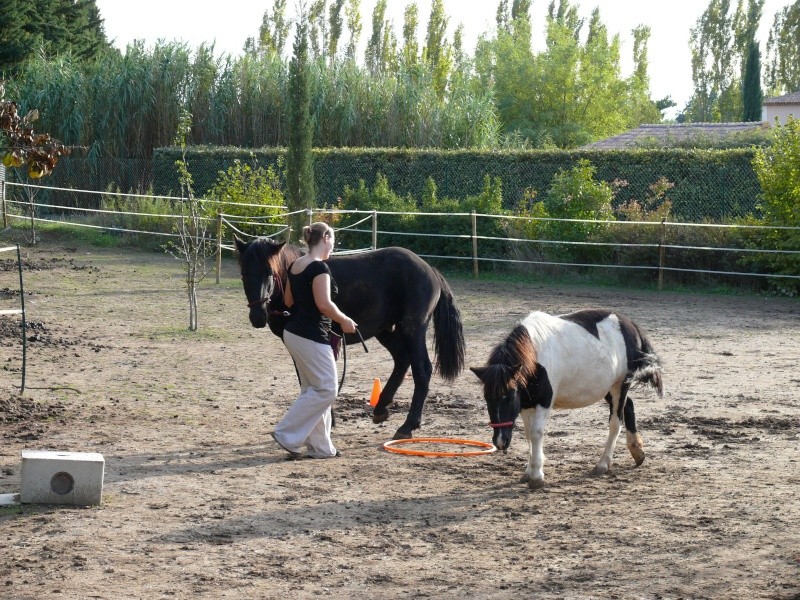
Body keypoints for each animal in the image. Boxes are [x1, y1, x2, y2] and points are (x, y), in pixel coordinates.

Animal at [234, 236, 466, 440]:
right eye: (244, 273)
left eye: (270, 273)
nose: (258, 316)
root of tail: (430, 269)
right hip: (386, 330)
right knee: (402, 360)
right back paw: (381, 409)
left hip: (412, 329)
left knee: (422, 369)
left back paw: (407, 425)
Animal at [468, 310, 664, 488]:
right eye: (487, 398)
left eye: (509, 396)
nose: (500, 442)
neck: (535, 355)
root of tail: (630, 326)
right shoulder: (525, 403)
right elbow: (529, 435)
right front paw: (529, 470)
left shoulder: (544, 402)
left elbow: (536, 433)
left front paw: (537, 475)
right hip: (606, 388)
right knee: (629, 405)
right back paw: (637, 450)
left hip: (619, 386)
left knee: (616, 422)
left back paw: (603, 464)